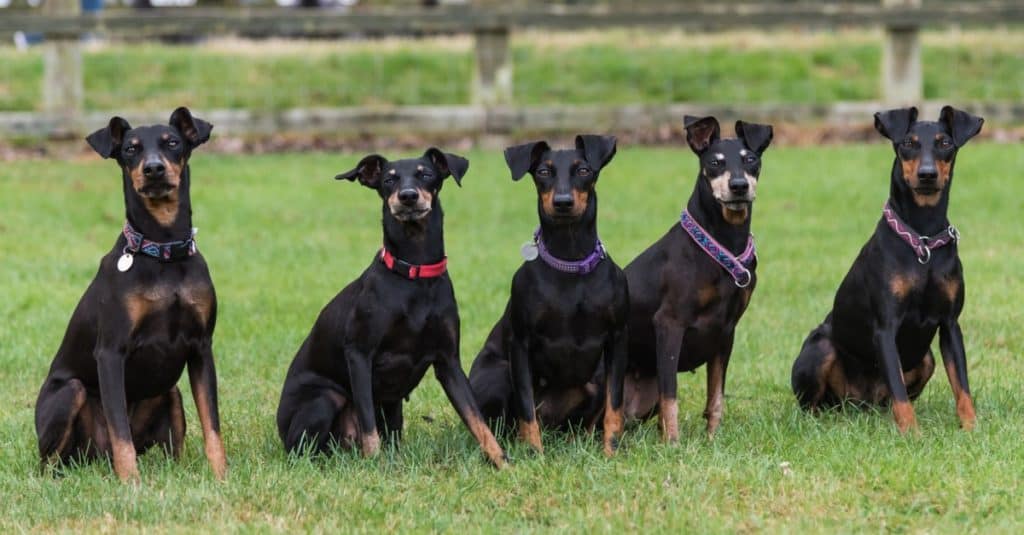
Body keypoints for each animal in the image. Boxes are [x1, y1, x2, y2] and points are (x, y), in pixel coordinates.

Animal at [37, 106, 229, 481]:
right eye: (130, 149)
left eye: (172, 143)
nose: (153, 169)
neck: (164, 249)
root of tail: (95, 457)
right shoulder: (111, 352)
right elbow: (120, 433)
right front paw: (131, 484)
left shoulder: (201, 348)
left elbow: (212, 425)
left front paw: (221, 477)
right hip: (69, 395)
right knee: (52, 462)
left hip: (171, 393)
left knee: (172, 448)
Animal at [276, 147, 507, 463]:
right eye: (389, 180)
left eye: (426, 174)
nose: (408, 196)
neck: (415, 274)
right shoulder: (359, 354)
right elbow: (368, 423)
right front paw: (374, 463)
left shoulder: (448, 361)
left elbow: (477, 419)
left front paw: (504, 462)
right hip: (324, 399)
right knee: (304, 449)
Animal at [468, 133, 626, 453]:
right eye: (543, 172)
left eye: (583, 170)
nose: (563, 202)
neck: (570, 261)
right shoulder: (520, 345)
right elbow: (526, 407)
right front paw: (533, 452)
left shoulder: (616, 341)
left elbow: (614, 405)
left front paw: (611, 450)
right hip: (500, 372)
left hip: (595, 379)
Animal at [614, 116, 774, 440]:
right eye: (714, 162)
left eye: (751, 160)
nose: (739, 187)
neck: (722, 242)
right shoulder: (669, 324)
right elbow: (671, 396)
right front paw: (673, 443)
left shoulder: (725, 332)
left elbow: (716, 396)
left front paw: (712, 439)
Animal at [790, 104, 983, 428]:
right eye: (908, 143)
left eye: (945, 143)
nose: (927, 174)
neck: (923, 239)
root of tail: (858, 402)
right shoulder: (885, 327)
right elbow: (900, 393)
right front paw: (912, 433)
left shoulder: (950, 324)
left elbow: (962, 386)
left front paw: (971, 427)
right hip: (821, 349)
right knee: (812, 405)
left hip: (926, 359)